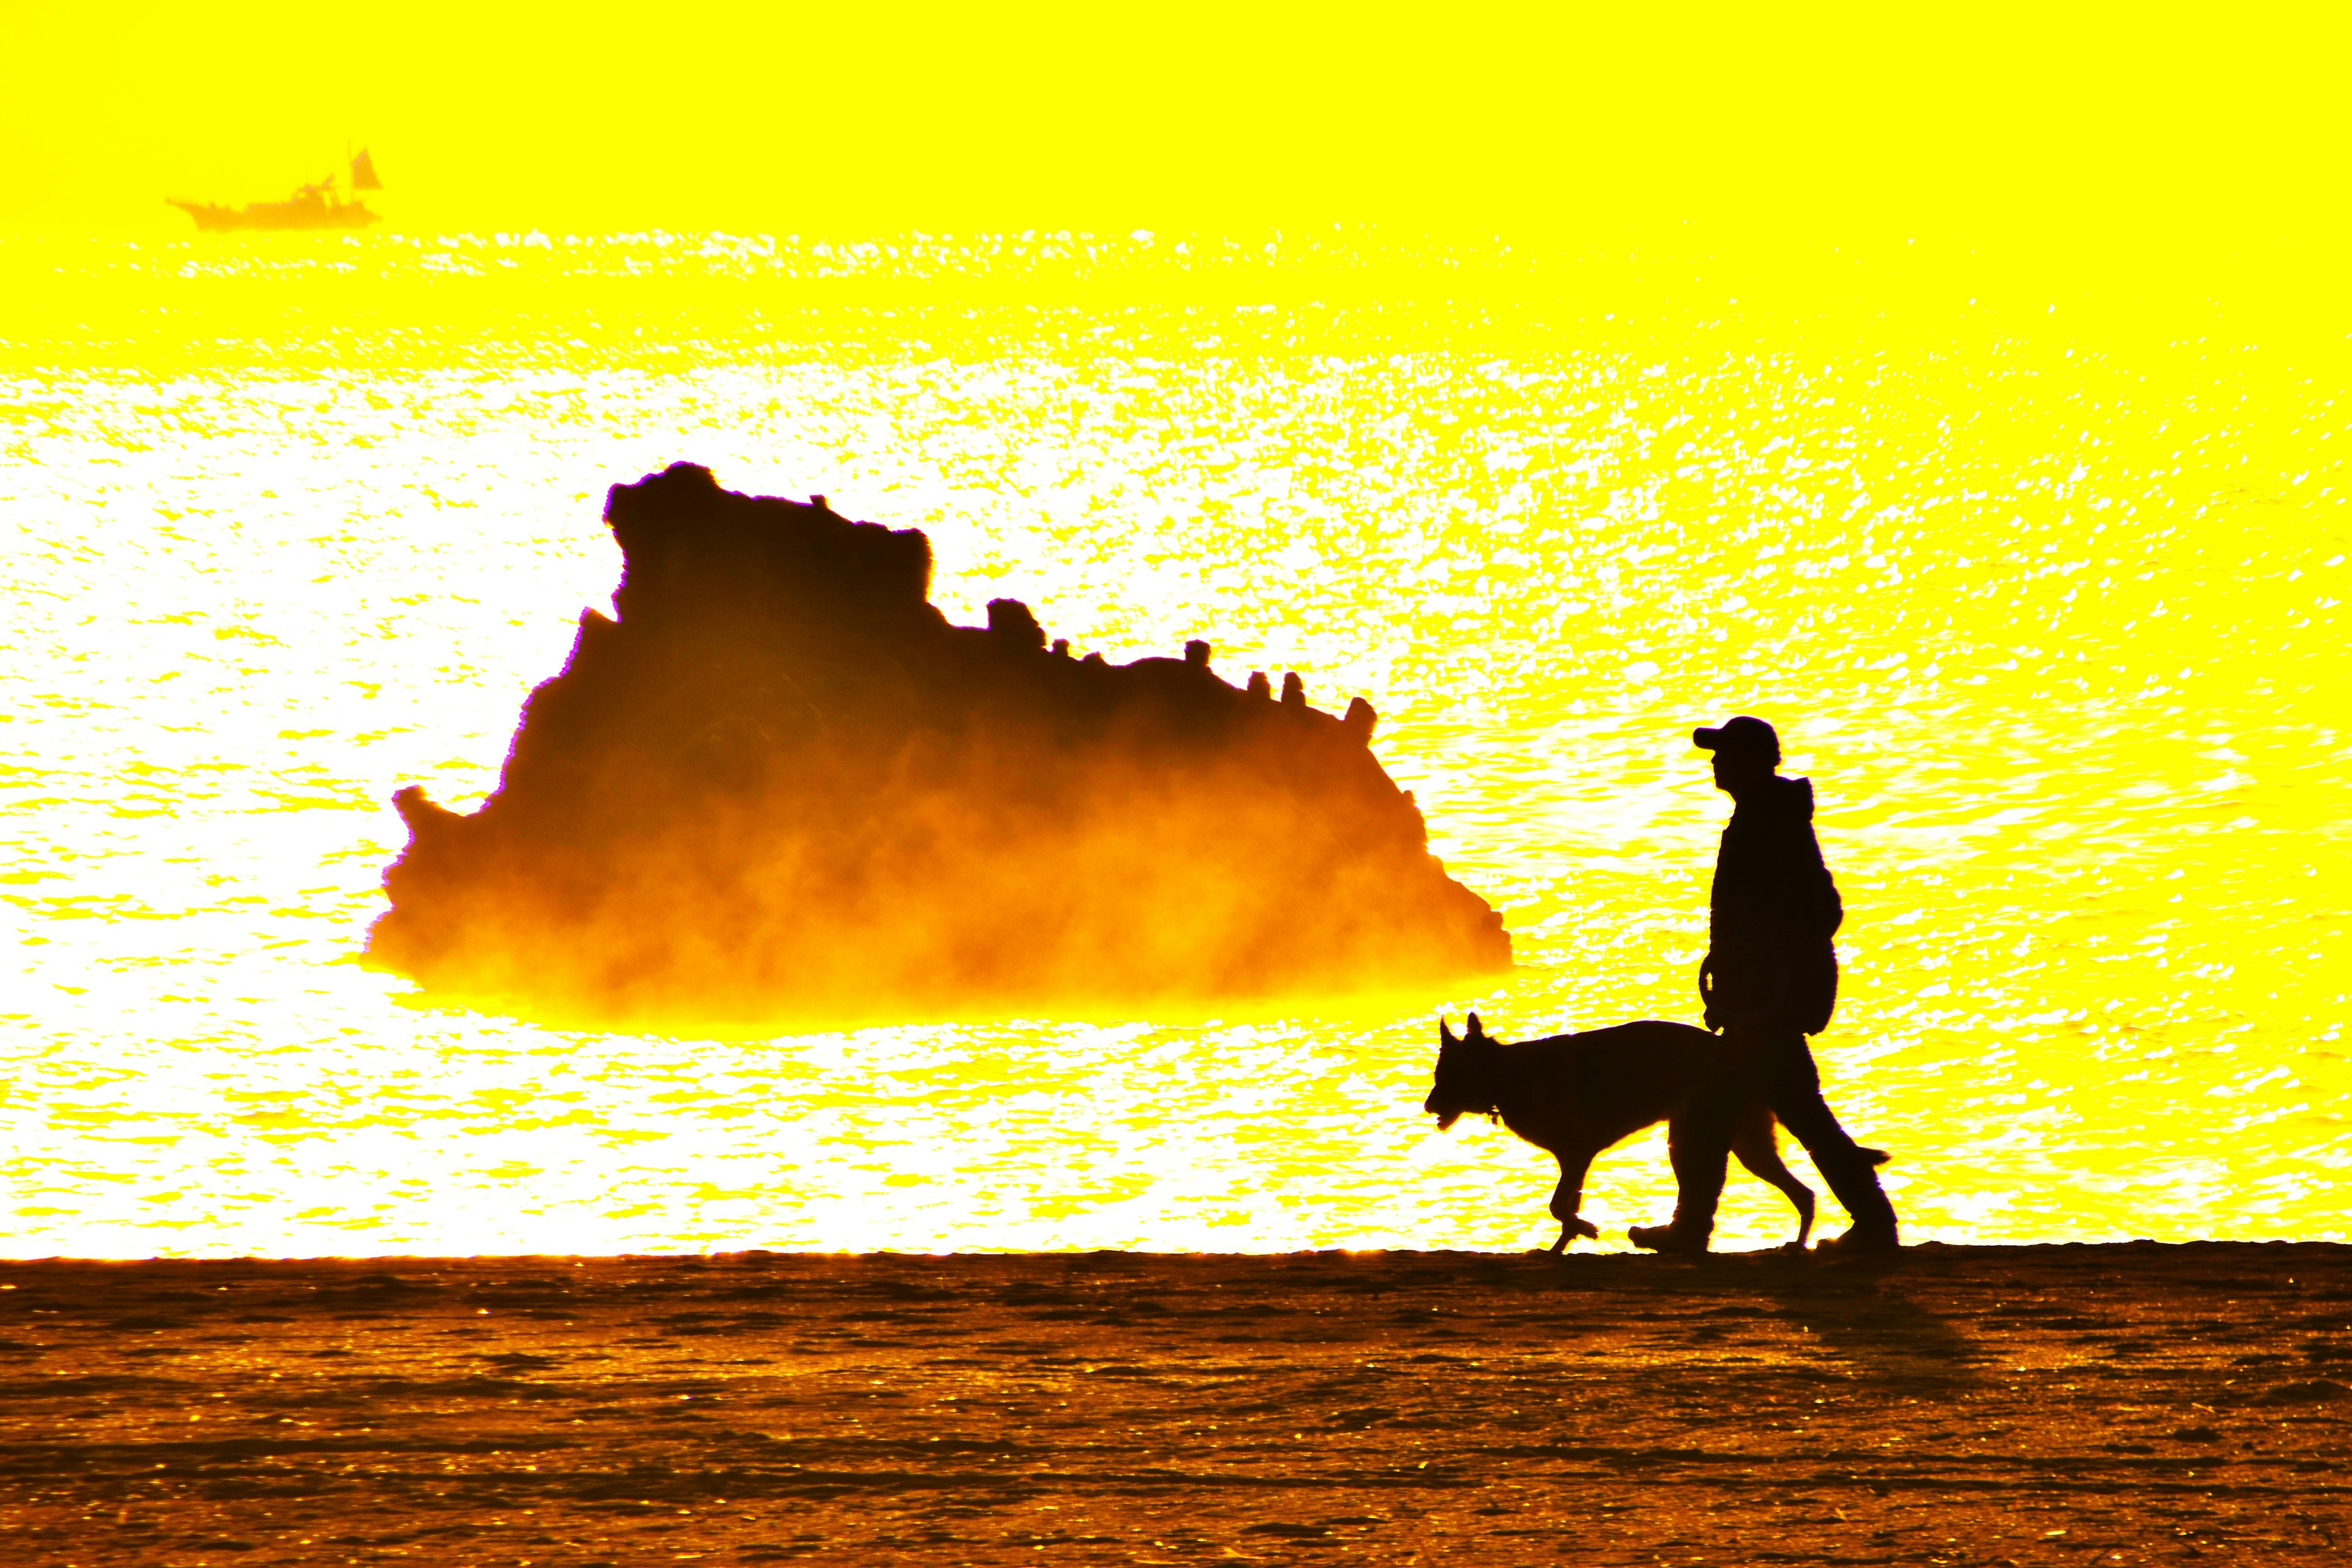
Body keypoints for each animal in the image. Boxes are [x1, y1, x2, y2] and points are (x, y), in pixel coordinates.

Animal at [1411, 1020, 1891, 1250]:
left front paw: (1581, 1231)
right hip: (1747, 1145)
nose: (1428, 1107)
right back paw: (1795, 1245)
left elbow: (1559, 1206)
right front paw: (1565, 1242)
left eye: (1444, 1077)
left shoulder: (1577, 1154)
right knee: (1805, 1193)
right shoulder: (1575, 1159)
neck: (1506, 1074)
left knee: (1798, 1191)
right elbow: (1563, 1206)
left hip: (1707, 1137)